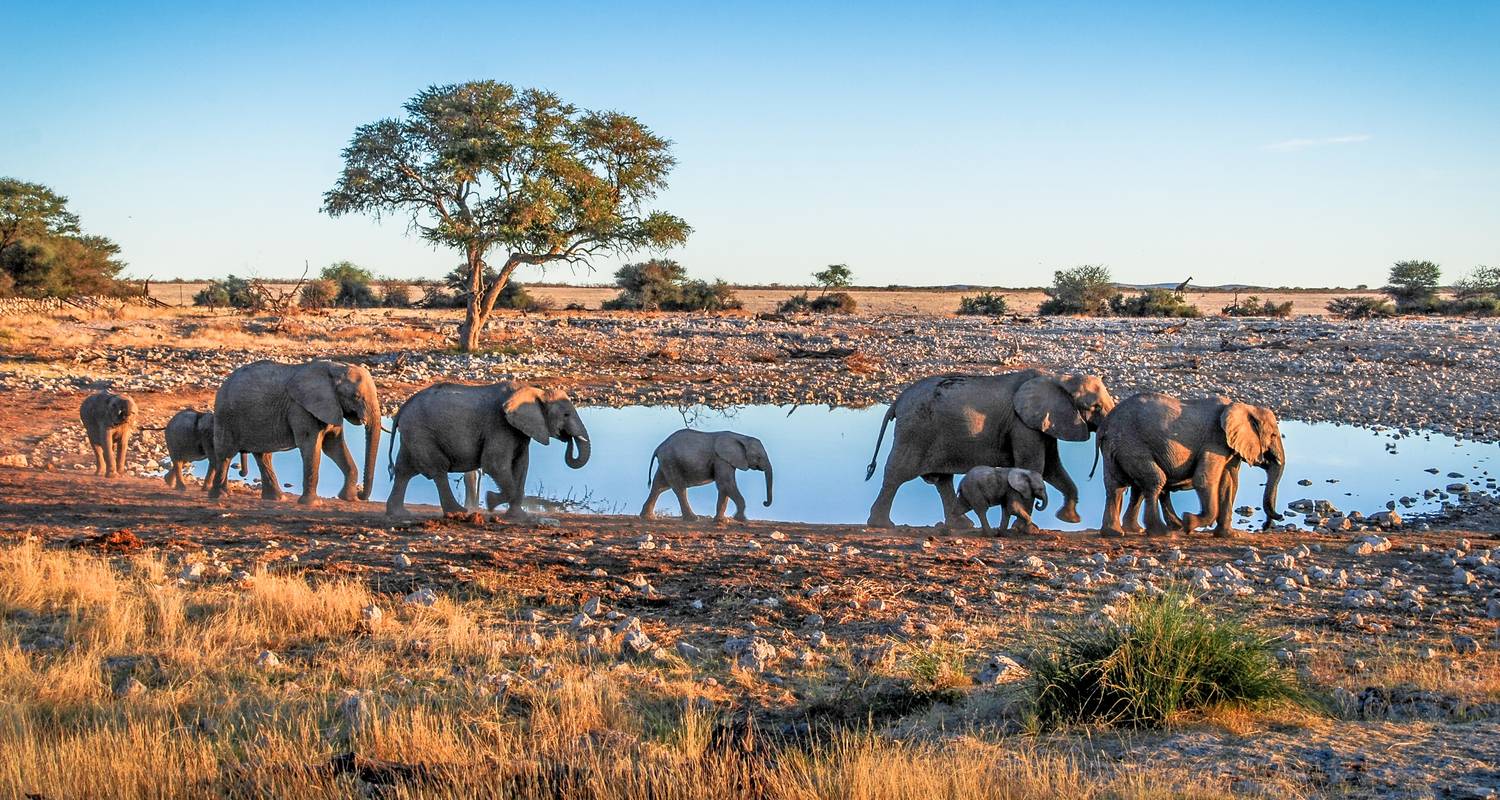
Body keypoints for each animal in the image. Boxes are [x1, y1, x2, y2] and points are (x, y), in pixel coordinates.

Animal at [210, 358, 384, 501]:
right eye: (356, 396)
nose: (361, 495)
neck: (335, 369)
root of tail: (224, 383)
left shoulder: (332, 406)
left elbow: (333, 446)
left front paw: (348, 498)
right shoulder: (301, 408)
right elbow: (311, 445)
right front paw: (313, 503)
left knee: (263, 456)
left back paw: (276, 499)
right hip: (226, 416)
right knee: (226, 454)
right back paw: (220, 496)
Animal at [384, 382, 588, 516]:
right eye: (566, 414)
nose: (567, 438)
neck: (533, 391)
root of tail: (402, 408)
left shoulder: (519, 431)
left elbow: (521, 465)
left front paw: (518, 517)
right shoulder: (499, 425)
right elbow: (495, 465)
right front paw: (490, 502)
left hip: (413, 434)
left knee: (404, 471)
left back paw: (399, 514)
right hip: (422, 432)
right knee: (438, 469)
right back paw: (458, 512)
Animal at [639, 426, 774, 522]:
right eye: (759, 457)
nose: (764, 503)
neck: (742, 437)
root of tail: (658, 447)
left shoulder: (725, 460)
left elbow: (724, 486)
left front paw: (720, 521)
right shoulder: (721, 459)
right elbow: (726, 483)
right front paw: (742, 520)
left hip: (666, 462)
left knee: (658, 486)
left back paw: (648, 518)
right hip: (671, 461)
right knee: (679, 488)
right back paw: (693, 519)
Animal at [870, 369, 1116, 531]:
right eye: (1095, 407)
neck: (1059, 378)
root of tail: (898, 401)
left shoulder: (1041, 423)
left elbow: (1052, 469)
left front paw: (1069, 519)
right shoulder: (1022, 424)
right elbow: (1034, 466)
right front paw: (1025, 529)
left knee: (942, 480)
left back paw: (962, 525)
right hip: (915, 431)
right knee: (898, 473)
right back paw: (881, 524)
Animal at [1098, 393, 1284, 537]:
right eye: (1274, 435)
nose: (1269, 524)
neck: (1244, 407)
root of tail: (1105, 425)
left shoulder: (1229, 446)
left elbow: (1229, 483)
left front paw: (1228, 535)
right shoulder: (1214, 440)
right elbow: (1204, 479)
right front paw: (1188, 522)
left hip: (1116, 448)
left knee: (1116, 486)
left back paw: (1117, 532)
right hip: (1131, 444)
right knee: (1155, 480)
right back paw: (1162, 533)